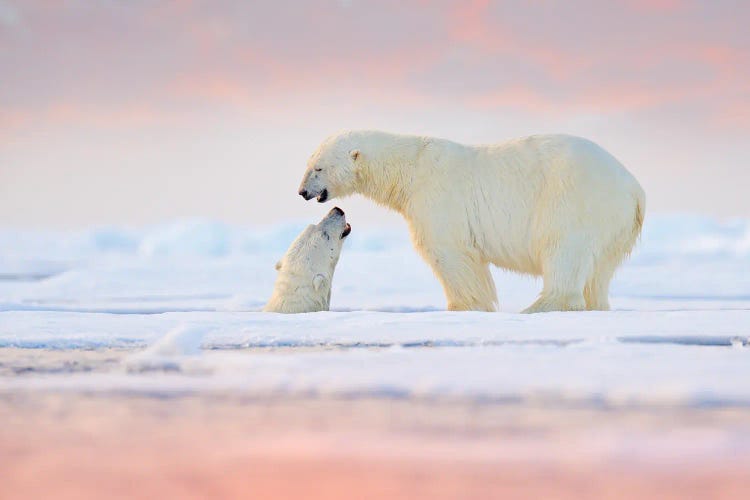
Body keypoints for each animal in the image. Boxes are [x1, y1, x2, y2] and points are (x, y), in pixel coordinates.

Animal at [298, 133, 648, 312]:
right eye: (309, 164)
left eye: (318, 168)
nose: (302, 192)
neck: (410, 168)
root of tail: (634, 188)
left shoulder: (438, 199)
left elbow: (450, 254)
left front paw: (465, 307)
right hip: (616, 225)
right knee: (599, 271)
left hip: (574, 200)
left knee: (563, 249)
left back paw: (539, 306)